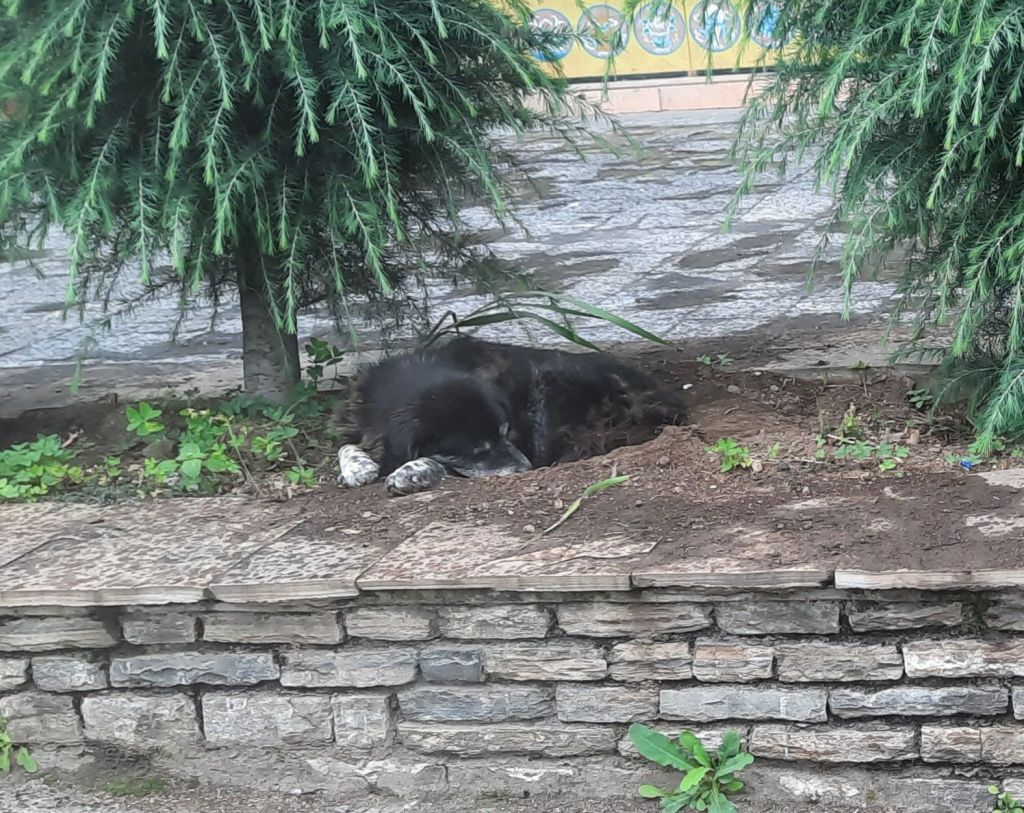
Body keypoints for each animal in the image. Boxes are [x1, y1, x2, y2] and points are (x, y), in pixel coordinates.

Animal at [336, 336, 686, 496]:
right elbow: (345, 445)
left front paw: (412, 473)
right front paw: (358, 467)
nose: (525, 469)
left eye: (506, 432)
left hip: (549, 385)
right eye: (479, 449)